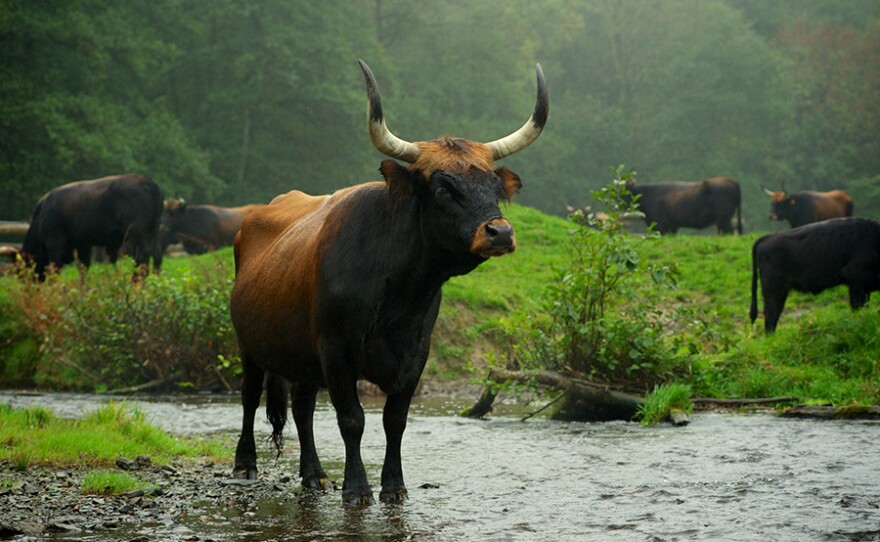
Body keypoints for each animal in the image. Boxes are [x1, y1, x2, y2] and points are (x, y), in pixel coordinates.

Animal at [20, 176, 164, 282]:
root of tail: (148, 182)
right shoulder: (84, 245)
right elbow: (84, 267)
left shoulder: (55, 243)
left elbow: (55, 267)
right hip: (152, 234)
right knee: (155, 256)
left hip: (137, 236)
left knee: (141, 259)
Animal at [227, 58, 548, 506]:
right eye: (444, 187)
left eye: (494, 185)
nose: (499, 233)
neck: (397, 298)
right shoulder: (337, 350)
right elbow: (352, 419)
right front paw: (357, 488)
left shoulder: (415, 354)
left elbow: (395, 421)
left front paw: (394, 486)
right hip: (250, 345)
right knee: (249, 396)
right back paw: (245, 465)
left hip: (302, 354)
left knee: (302, 405)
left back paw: (314, 475)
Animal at [748, 218, 880, 336]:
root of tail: (768, 237)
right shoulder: (856, 280)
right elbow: (857, 306)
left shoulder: (865, 287)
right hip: (774, 290)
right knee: (771, 315)